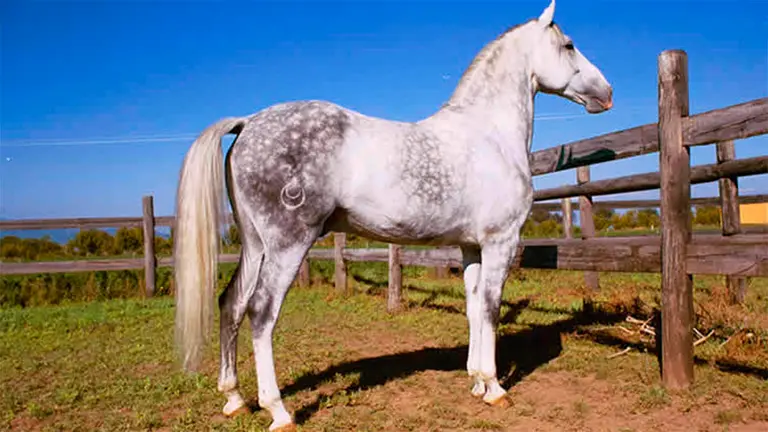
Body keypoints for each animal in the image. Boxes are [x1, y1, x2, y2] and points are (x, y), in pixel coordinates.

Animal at [172, 1, 612, 430]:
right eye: (569, 45)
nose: (607, 93)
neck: (489, 134)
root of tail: (247, 123)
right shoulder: (500, 241)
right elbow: (490, 306)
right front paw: (494, 388)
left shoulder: (470, 247)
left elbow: (473, 307)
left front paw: (475, 382)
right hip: (287, 245)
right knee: (261, 311)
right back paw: (278, 411)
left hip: (254, 244)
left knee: (232, 304)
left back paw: (235, 400)